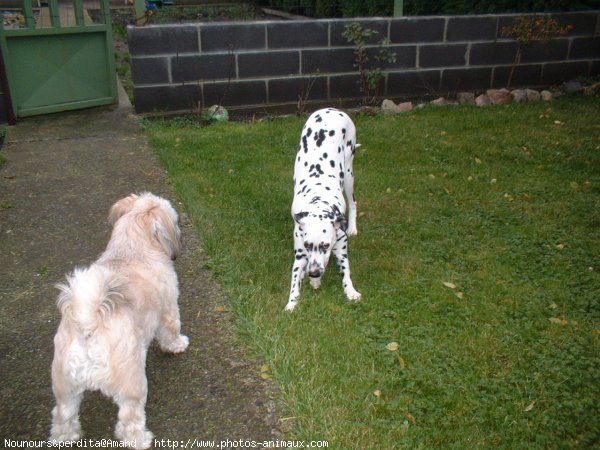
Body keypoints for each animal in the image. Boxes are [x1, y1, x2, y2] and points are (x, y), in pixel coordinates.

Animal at [50, 192, 189, 448]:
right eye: (176, 220)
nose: (180, 228)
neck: (131, 249)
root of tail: (88, 323)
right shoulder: (169, 307)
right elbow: (171, 330)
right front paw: (177, 344)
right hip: (132, 384)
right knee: (130, 419)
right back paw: (141, 439)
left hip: (65, 388)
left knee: (63, 416)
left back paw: (66, 437)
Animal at [286, 108, 360, 312]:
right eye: (308, 244)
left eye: (326, 245)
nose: (313, 273)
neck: (318, 199)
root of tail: (332, 109)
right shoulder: (300, 254)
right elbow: (294, 280)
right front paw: (292, 301)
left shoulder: (341, 249)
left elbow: (347, 273)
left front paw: (351, 291)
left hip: (349, 175)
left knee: (354, 203)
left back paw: (353, 228)